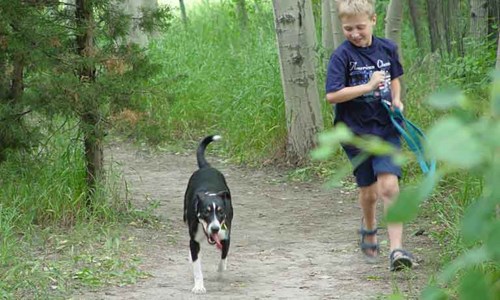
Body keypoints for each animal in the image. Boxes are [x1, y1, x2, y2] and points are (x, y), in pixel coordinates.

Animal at [183, 135, 233, 294]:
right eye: (206, 212)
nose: (215, 229)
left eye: (221, 212)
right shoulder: (194, 241)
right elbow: (197, 267)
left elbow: (223, 259)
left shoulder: (226, 236)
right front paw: (199, 286)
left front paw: (220, 273)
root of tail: (206, 167)